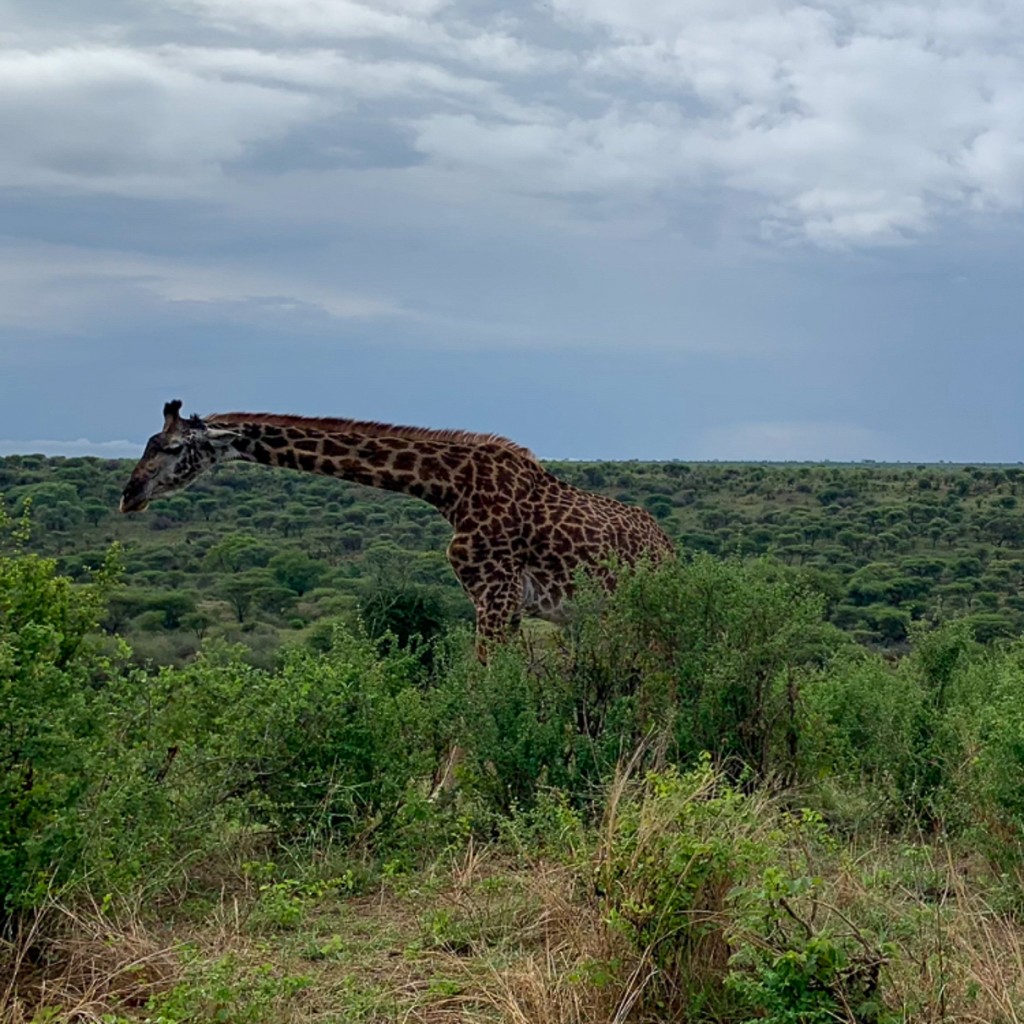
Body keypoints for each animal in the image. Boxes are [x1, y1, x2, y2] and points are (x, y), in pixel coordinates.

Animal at [120, 401, 675, 654]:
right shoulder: (503, 604)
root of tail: (668, 547)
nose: (130, 496)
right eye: (147, 443)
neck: (450, 490)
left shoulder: (495, 596)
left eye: (171, 447)